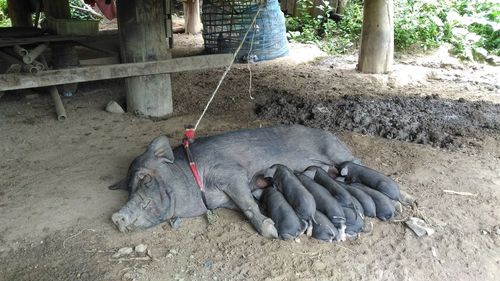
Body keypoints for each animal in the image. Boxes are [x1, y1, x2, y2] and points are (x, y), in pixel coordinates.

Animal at [109, 124, 410, 241]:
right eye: (128, 188)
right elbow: (247, 205)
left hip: (337, 152)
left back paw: (407, 201)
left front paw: (271, 231)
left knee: (358, 163)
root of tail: (331, 133)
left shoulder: (230, 173)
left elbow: (248, 205)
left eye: (144, 179)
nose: (116, 217)